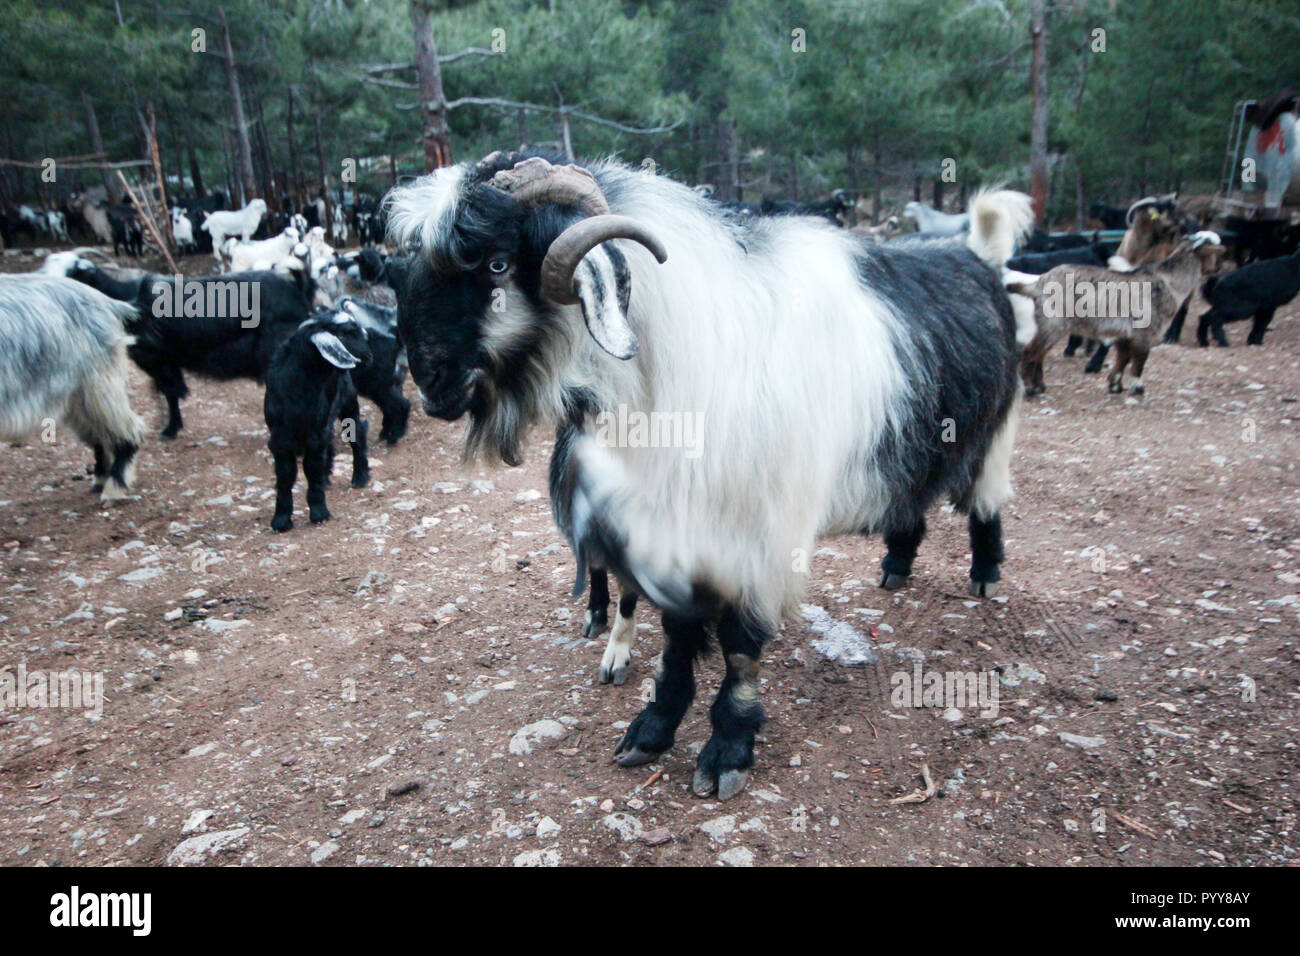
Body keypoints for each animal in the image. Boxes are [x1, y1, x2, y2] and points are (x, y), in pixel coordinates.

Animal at [0, 275, 144, 500]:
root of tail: (107, 302)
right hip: (75, 398)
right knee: (99, 435)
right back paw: (100, 479)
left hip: (98, 386)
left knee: (128, 429)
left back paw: (113, 487)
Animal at [265, 309, 371, 532]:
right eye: (346, 333)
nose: (368, 355)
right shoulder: (279, 437)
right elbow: (285, 474)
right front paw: (281, 519)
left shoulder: (315, 433)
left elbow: (311, 468)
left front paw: (319, 512)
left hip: (347, 400)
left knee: (358, 433)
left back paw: (360, 476)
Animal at [387, 151, 1033, 798]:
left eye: (497, 263)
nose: (429, 383)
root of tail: (979, 256)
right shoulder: (671, 528)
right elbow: (677, 635)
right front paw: (652, 728)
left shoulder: (759, 536)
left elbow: (741, 647)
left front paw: (728, 749)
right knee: (911, 503)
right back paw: (896, 565)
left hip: (996, 435)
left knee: (986, 504)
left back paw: (984, 574)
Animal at [1014, 232, 1222, 396]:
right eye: (1213, 252)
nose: (1218, 268)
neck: (1168, 281)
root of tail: (1039, 281)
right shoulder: (1145, 332)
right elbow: (1138, 361)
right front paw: (1138, 388)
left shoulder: (1126, 334)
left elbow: (1123, 358)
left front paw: (1115, 385)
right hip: (1053, 323)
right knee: (1030, 352)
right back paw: (1029, 389)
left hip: (1050, 325)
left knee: (1039, 354)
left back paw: (1040, 386)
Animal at [1164, 248, 1300, 347]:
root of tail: (1214, 286)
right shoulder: (1268, 305)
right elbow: (1262, 323)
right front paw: (1256, 342)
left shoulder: (1266, 306)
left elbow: (1260, 323)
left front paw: (1254, 341)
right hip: (1239, 309)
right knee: (1214, 318)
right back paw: (1223, 343)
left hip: (1226, 306)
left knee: (1205, 316)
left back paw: (1204, 342)